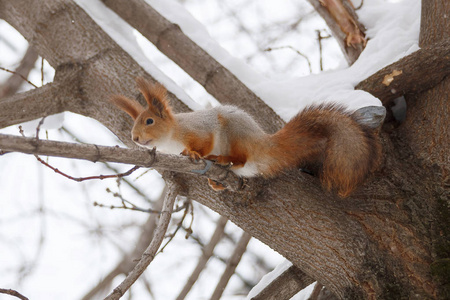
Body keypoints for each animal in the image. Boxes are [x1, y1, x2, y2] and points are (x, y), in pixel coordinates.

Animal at [111, 78, 380, 198]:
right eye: (136, 122)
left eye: (149, 121)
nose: (134, 137)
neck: (172, 137)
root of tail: (262, 144)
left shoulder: (200, 129)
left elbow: (203, 142)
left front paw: (194, 153)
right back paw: (217, 181)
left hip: (235, 135)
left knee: (240, 158)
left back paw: (220, 159)